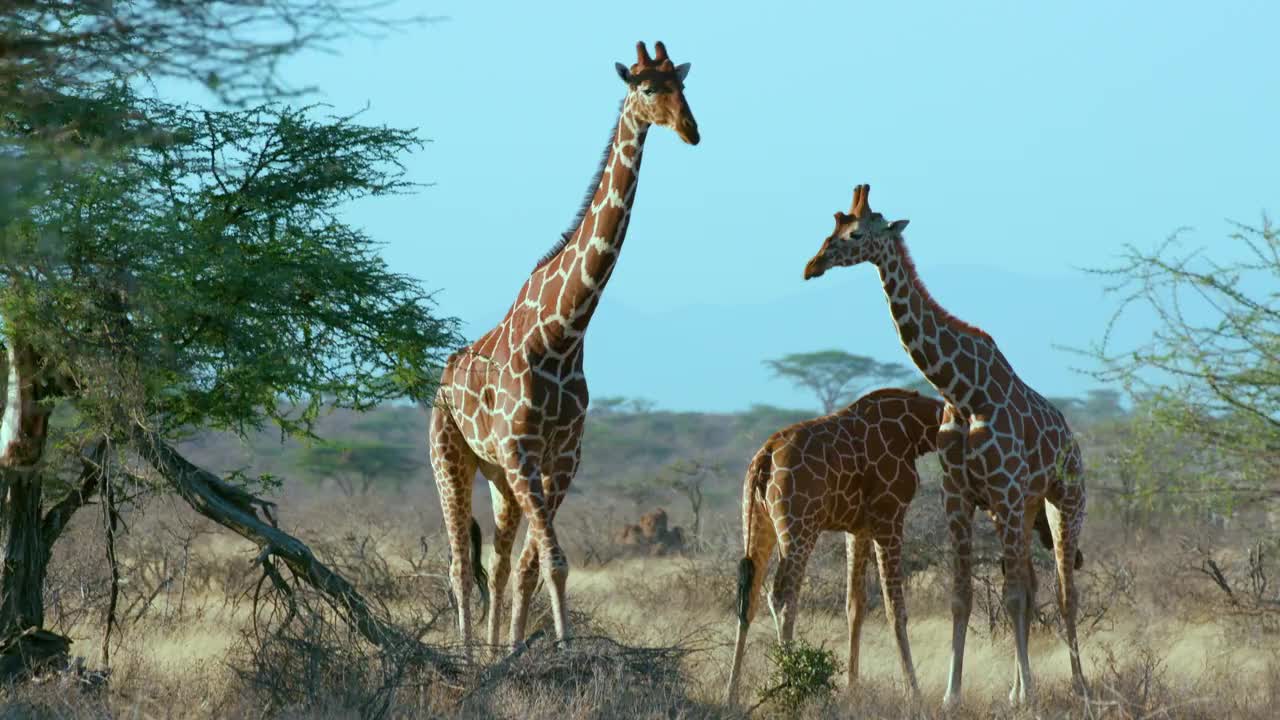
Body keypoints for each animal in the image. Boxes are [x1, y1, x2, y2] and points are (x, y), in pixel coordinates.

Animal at [430, 41, 701, 653]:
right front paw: (563, 648)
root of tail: (444, 377)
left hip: (500, 479)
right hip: (450, 456)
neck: (564, 333)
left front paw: (527, 649)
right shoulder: (523, 451)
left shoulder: (564, 456)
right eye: (647, 87)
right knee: (458, 564)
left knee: (497, 563)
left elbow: (536, 565)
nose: (692, 130)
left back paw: (491, 651)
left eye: (684, 85)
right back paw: (467, 653)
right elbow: (553, 561)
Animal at [798, 181, 1090, 702]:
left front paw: (1031, 697)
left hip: (1064, 502)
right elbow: (963, 595)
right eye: (831, 227)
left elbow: (1011, 595)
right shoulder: (960, 496)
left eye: (855, 234)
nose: (812, 265)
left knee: (1063, 591)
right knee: (1033, 583)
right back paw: (1018, 689)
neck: (965, 392)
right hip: (1021, 509)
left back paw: (1078, 687)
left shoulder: (1005, 493)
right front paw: (954, 693)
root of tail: (1071, 443)